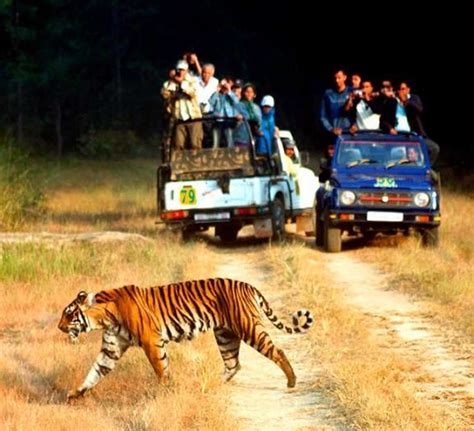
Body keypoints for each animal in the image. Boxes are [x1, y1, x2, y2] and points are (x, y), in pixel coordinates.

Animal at [57, 276, 312, 402]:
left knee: (277, 351)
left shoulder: (151, 341)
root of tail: (249, 286)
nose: (59, 327)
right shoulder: (111, 349)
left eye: (68, 314)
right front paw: (75, 394)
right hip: (225, 335)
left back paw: (291, 381)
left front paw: (166, 390)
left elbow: (161, 368)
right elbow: (94, 372)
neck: (104, 317)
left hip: (249, 328)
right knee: (233, 364)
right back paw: (207, 386)